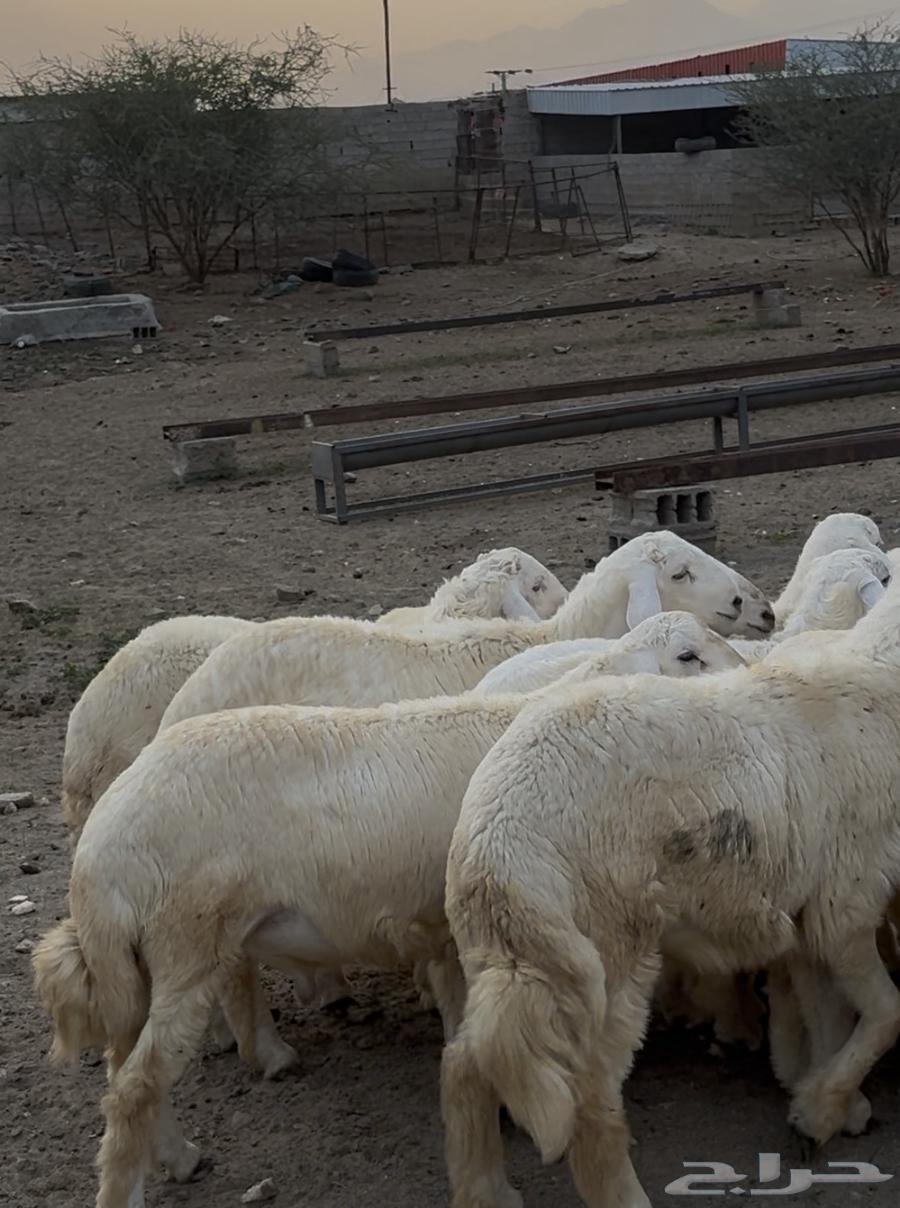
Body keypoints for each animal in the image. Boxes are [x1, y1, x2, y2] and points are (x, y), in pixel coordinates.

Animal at [442, 585, 900, 1208]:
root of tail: (497, 843)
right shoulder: (849, 899)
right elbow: (886, 1012)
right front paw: (825, 1109)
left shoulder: (812, 910)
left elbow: (827, 1013)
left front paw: (824, 1105)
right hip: (606, 953)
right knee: (588, 1104)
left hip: (516, 962)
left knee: (465, 1063)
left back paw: (484, 1189)